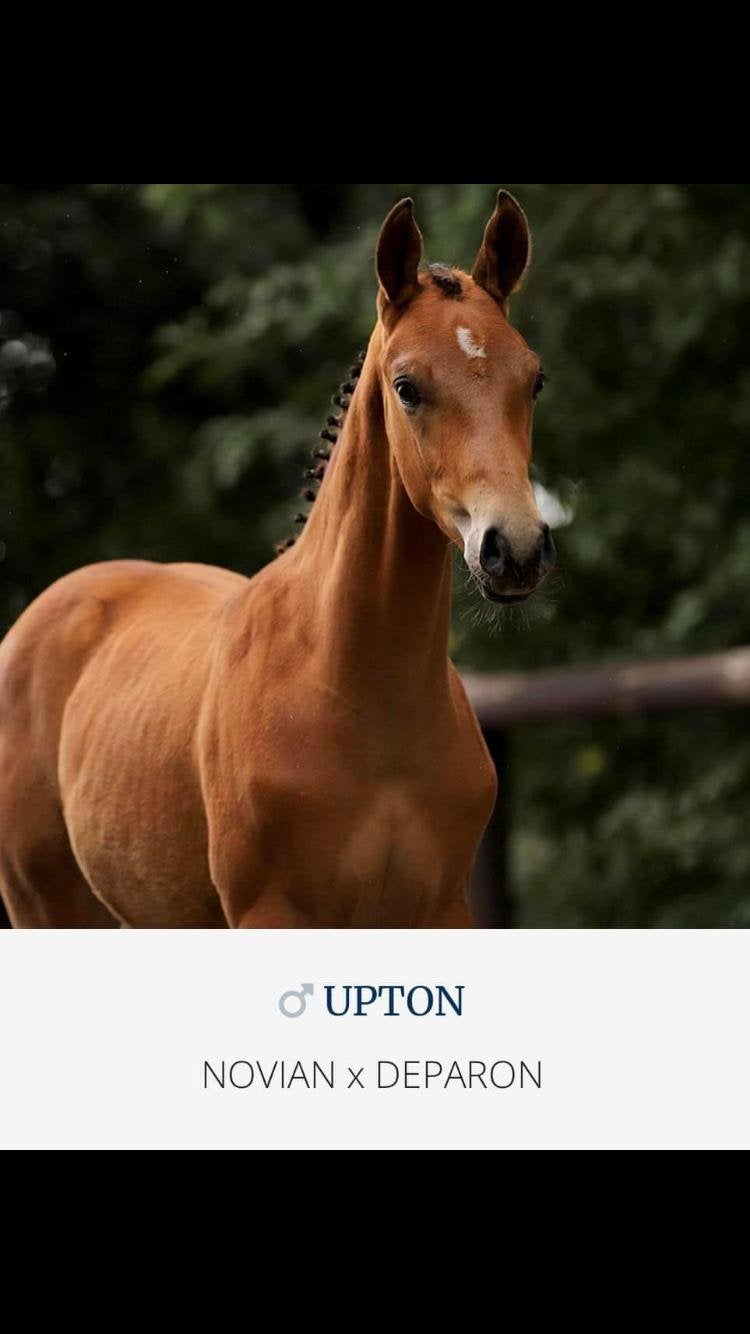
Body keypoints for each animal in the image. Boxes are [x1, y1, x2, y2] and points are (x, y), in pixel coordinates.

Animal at [0, 189, 555, 928]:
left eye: (534, 380)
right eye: (407, 387)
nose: (514, 547)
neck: (355, 687)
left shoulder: (441, 912)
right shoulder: (272, 912)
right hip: (44, 909)